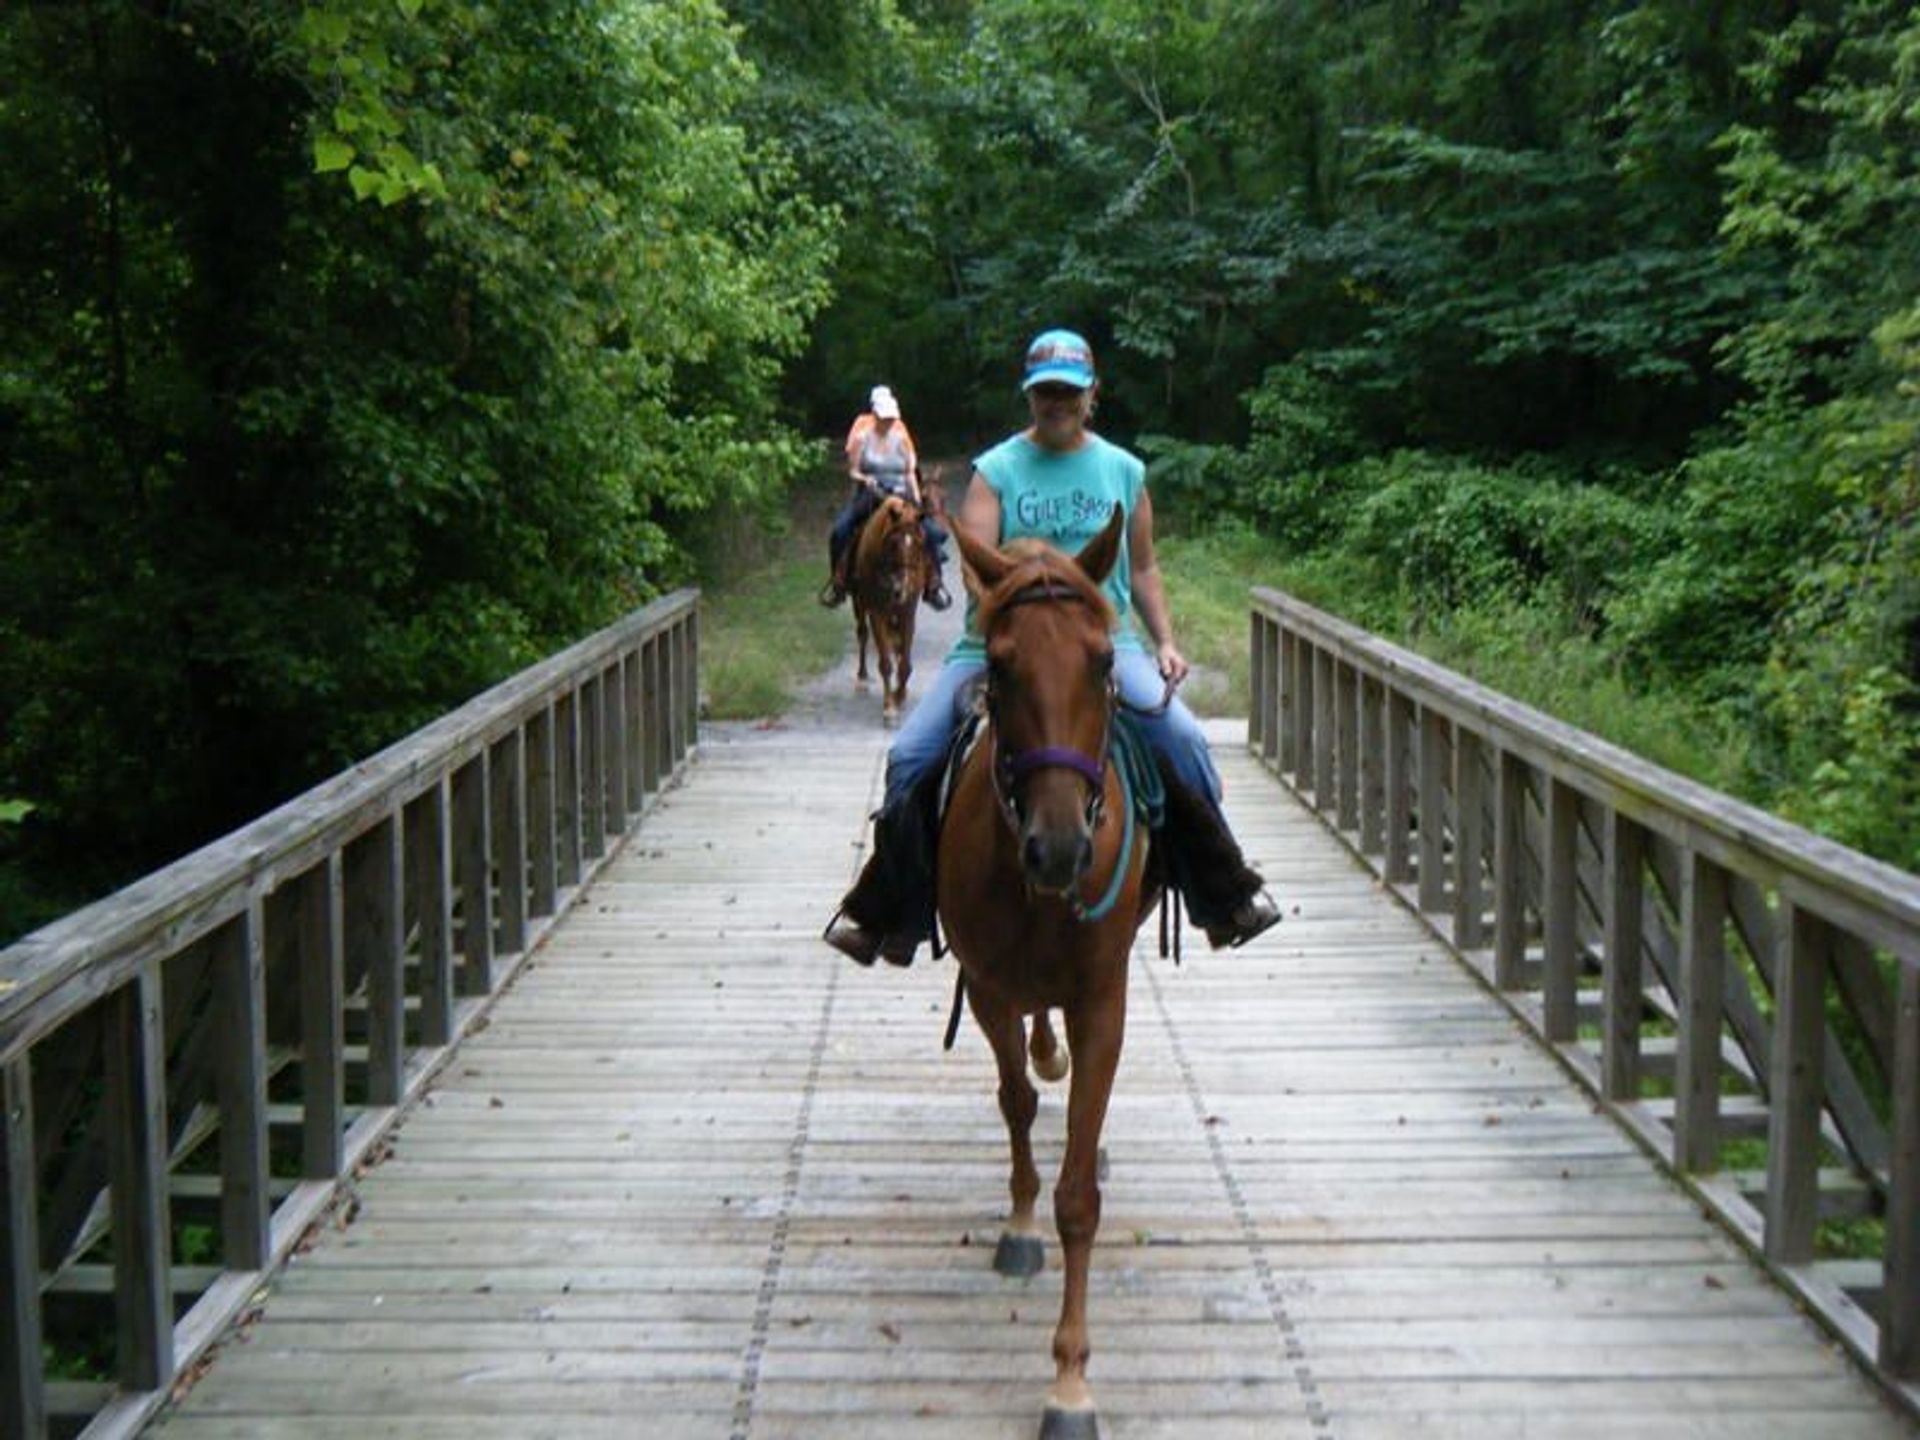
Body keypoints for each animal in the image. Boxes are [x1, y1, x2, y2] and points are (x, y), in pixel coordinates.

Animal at [856, 495, 929, 725]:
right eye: (893, 542)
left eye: (919, 542)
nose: (902, 588)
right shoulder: (877, 613)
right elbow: (886, 663)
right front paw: (889, 707)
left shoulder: (908, 613)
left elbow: (905, 663)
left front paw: (899, 696)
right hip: (859, 604)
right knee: (862, 634)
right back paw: (861, 678)